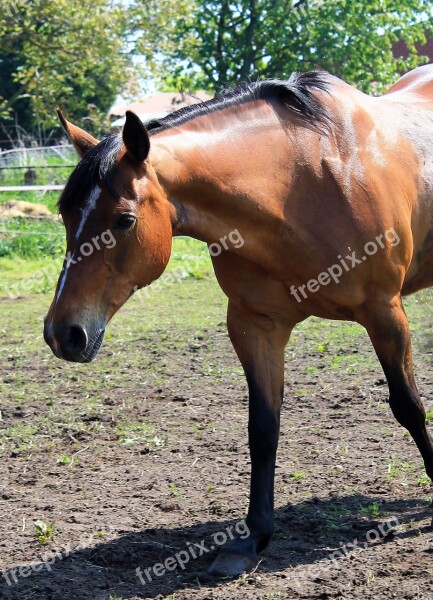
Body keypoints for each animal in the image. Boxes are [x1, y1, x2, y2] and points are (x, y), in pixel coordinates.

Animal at [44, 65, 433, 576]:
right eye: (66, 215)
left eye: (124, 220)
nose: (62, 334)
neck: (301, 185)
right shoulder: (255, 326)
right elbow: (262, 428)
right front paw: (251, 539)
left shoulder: (385, 313)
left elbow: (408, 406)